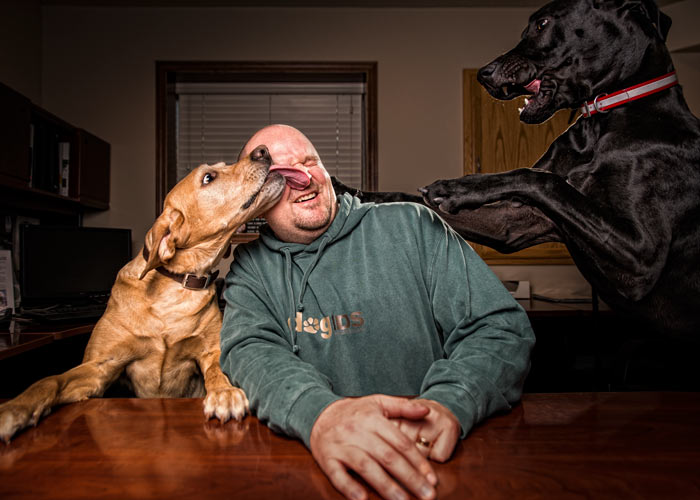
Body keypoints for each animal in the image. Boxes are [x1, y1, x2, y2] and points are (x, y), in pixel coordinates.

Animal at [0, 144, 284, 442]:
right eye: (208, 177)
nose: (263, 151)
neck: (174, 289)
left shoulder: (211, 351)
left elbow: (218, 371)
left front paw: (225, 392)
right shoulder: (99, 367)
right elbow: (49, 381)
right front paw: (15, 408)